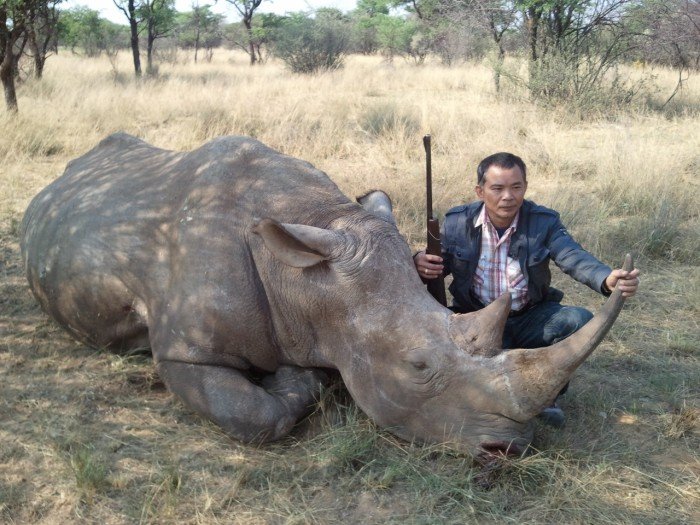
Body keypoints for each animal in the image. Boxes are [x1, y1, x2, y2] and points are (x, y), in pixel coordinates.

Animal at [20, 133, 628, 456]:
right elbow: (251, 415)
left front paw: (306, 375)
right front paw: (297, 378)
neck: (307, 278)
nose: (510, 450)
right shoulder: (184, 350)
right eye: (417, 367)